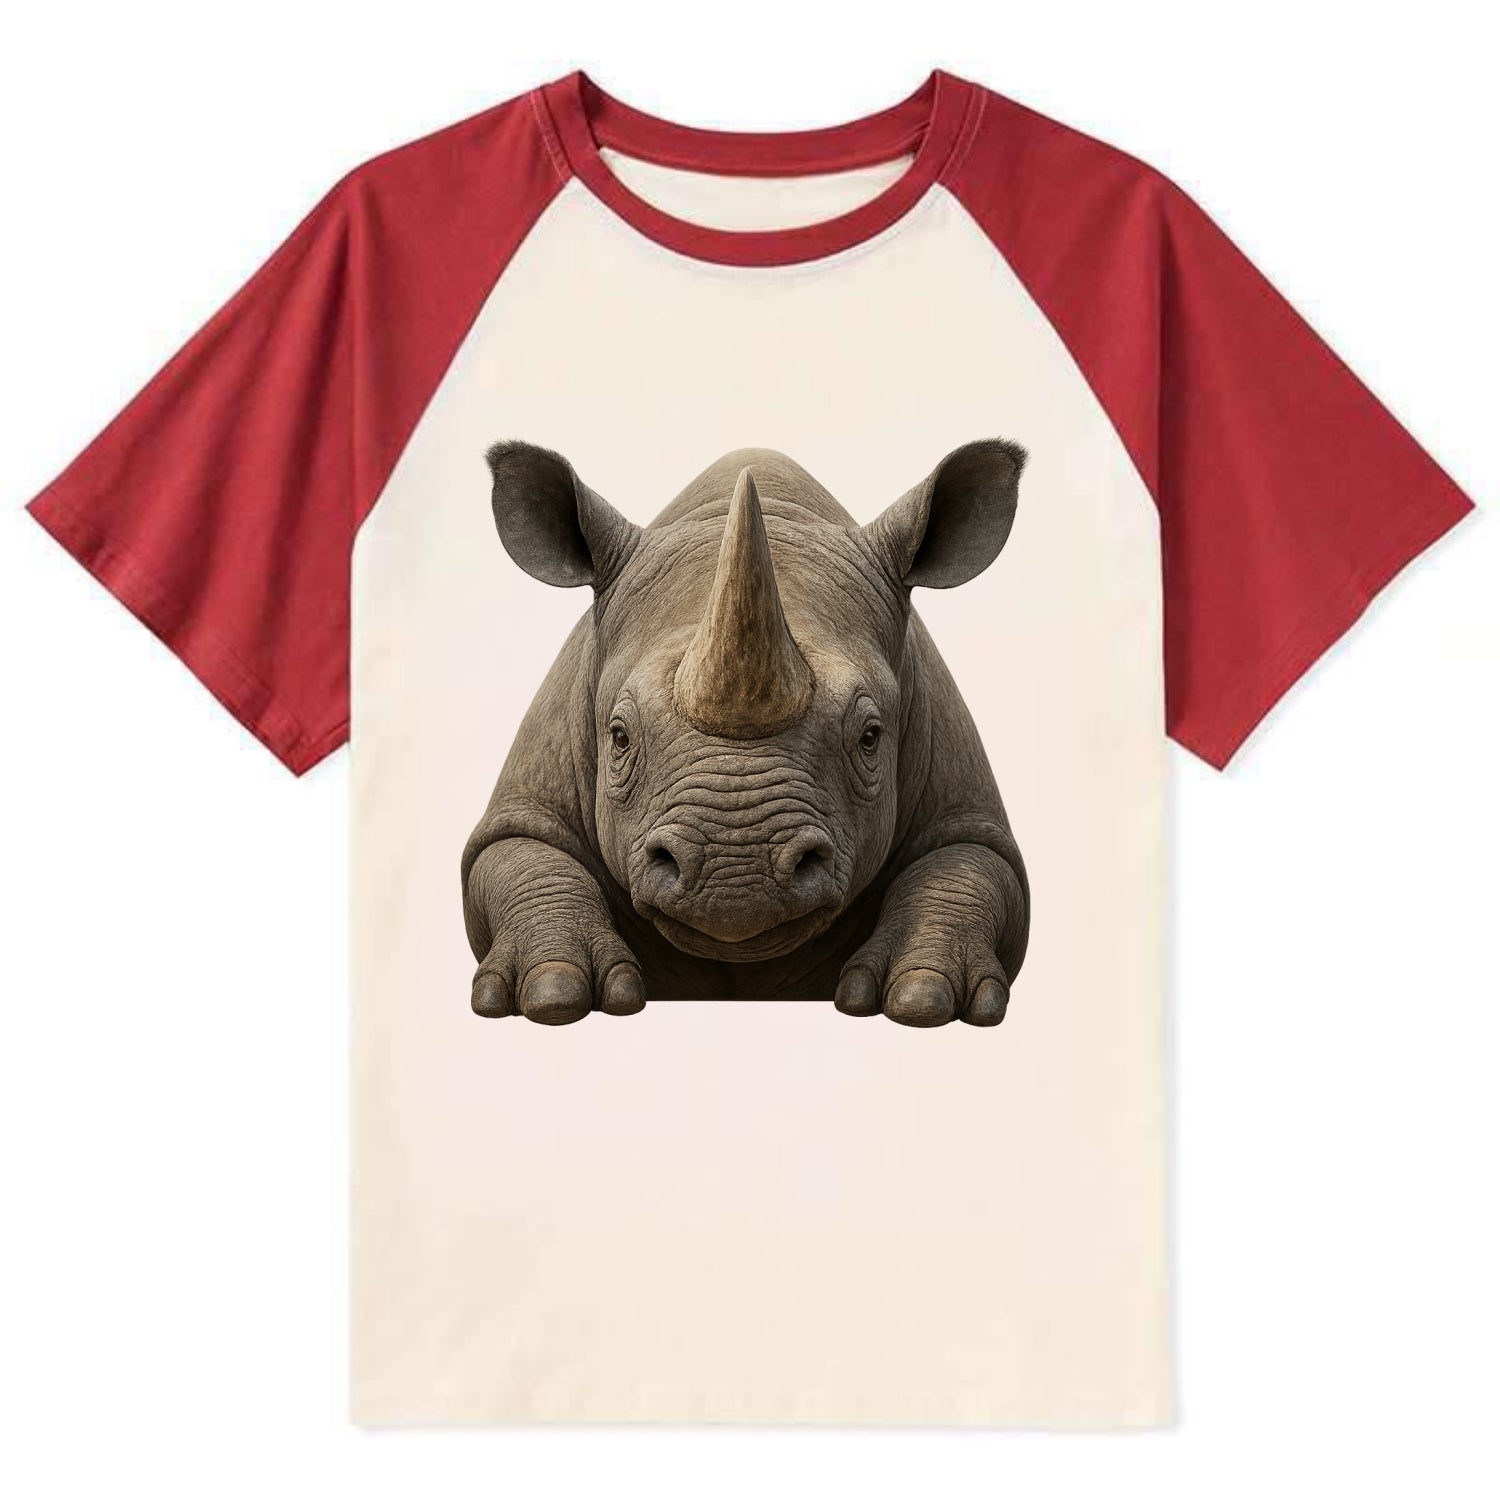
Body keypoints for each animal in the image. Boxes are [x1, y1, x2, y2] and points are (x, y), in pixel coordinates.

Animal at [461, 440, 1030, 1028]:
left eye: (870, 737)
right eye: (618, 737)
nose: (736, 876)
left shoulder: (962, 801)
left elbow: (967, 864)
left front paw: (923, 998)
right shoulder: (529, 799)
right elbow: (521, 853)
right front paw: (553, 994)